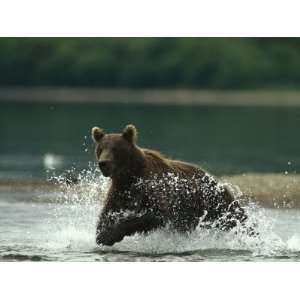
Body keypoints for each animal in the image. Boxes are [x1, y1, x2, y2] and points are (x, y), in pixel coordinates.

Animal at [91, 123, 248, 245]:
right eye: (101, 148)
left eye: (115, 149)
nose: (103, 163)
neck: (130, 175)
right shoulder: (121, 192)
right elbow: (107, 214)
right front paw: (101, 234)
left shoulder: (154, 189)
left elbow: (156, 214)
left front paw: (108, 236)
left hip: (216, 205)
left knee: (236, 220)